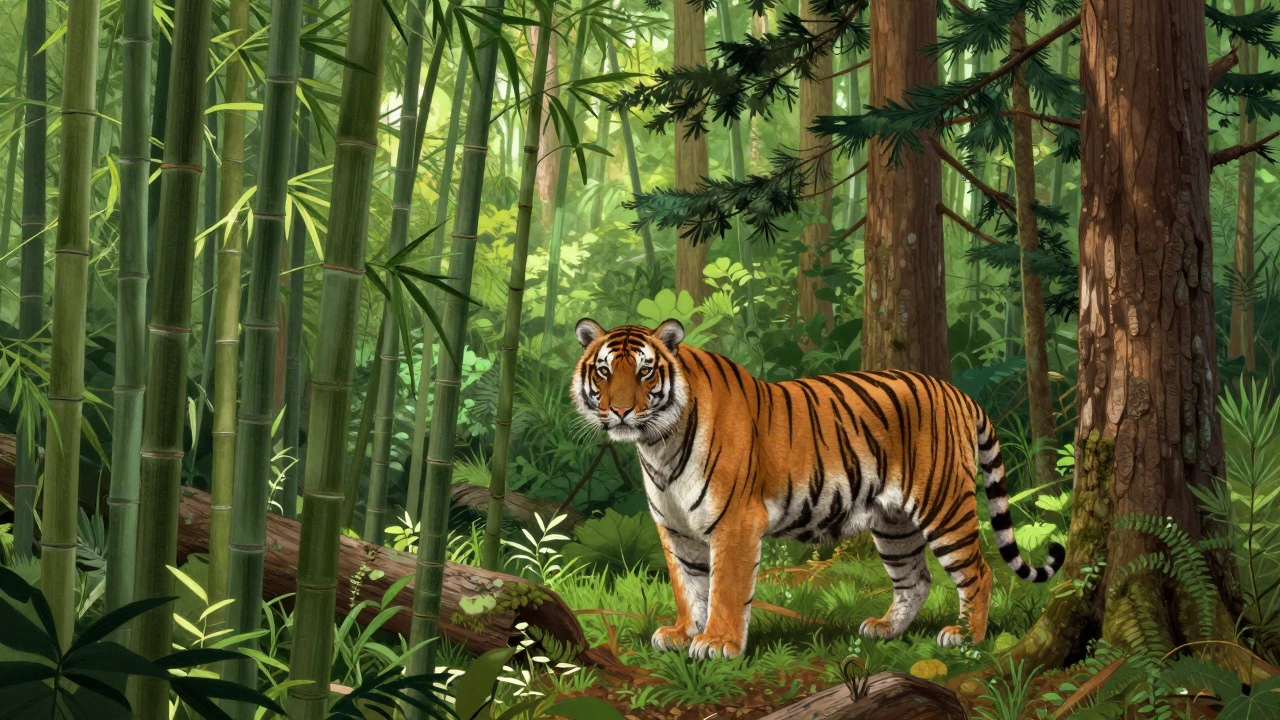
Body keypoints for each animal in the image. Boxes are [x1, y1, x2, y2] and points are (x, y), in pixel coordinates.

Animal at [570, 318, 1065, 660]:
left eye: (645, 372)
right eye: (603, 372)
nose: (619, 411)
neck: (658, 445)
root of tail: (958, 394)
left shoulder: (735, 523)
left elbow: (725, 588)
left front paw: (717, 643)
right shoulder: (676, 529)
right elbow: (689, 585)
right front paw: (683, 633)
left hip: (943, 505)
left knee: (978, 571)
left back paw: (966, 637)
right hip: (894, 524)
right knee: (916, 578)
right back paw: (886, 630)